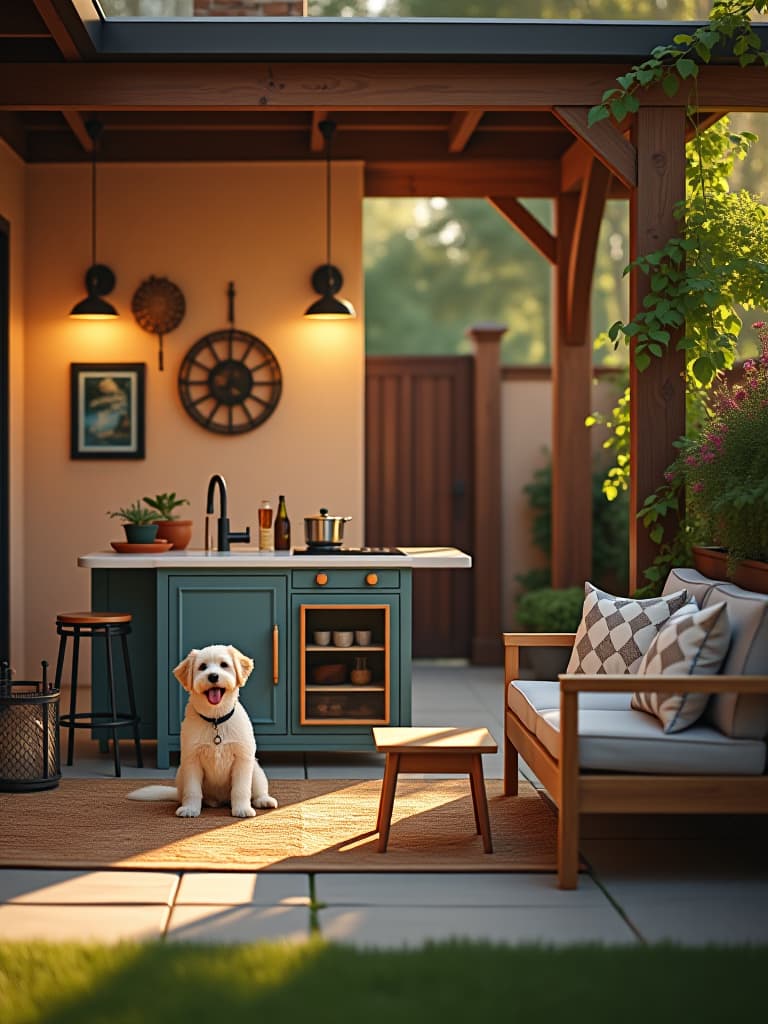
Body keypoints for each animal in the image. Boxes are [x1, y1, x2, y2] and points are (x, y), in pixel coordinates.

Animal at [128, 643, 278, 819]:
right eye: (202, 667)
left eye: (224, 665)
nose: (213, 676)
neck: (215, 720)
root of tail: (220, 800)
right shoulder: (192, 759)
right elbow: (193, 790)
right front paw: (190, 809)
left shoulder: (242, 759)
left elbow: (241, 790)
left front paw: (242, 809)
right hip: (181, 774)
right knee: (187, 794)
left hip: (255, 770)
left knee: (258, 790)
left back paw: (264, 800)